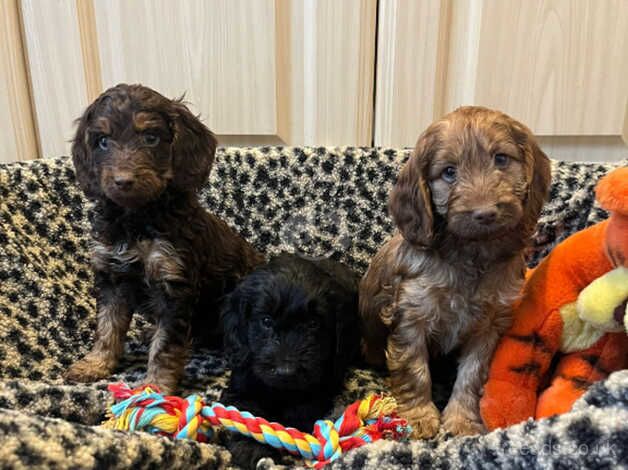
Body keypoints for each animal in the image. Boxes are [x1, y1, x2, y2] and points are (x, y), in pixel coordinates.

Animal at [221, 255, 360, 468]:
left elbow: (301, 408)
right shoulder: (240, 383)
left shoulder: (319, 385)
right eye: (266, 321)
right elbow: (246, 415)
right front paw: (252, 449)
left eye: (313, 324)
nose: (286, 371)